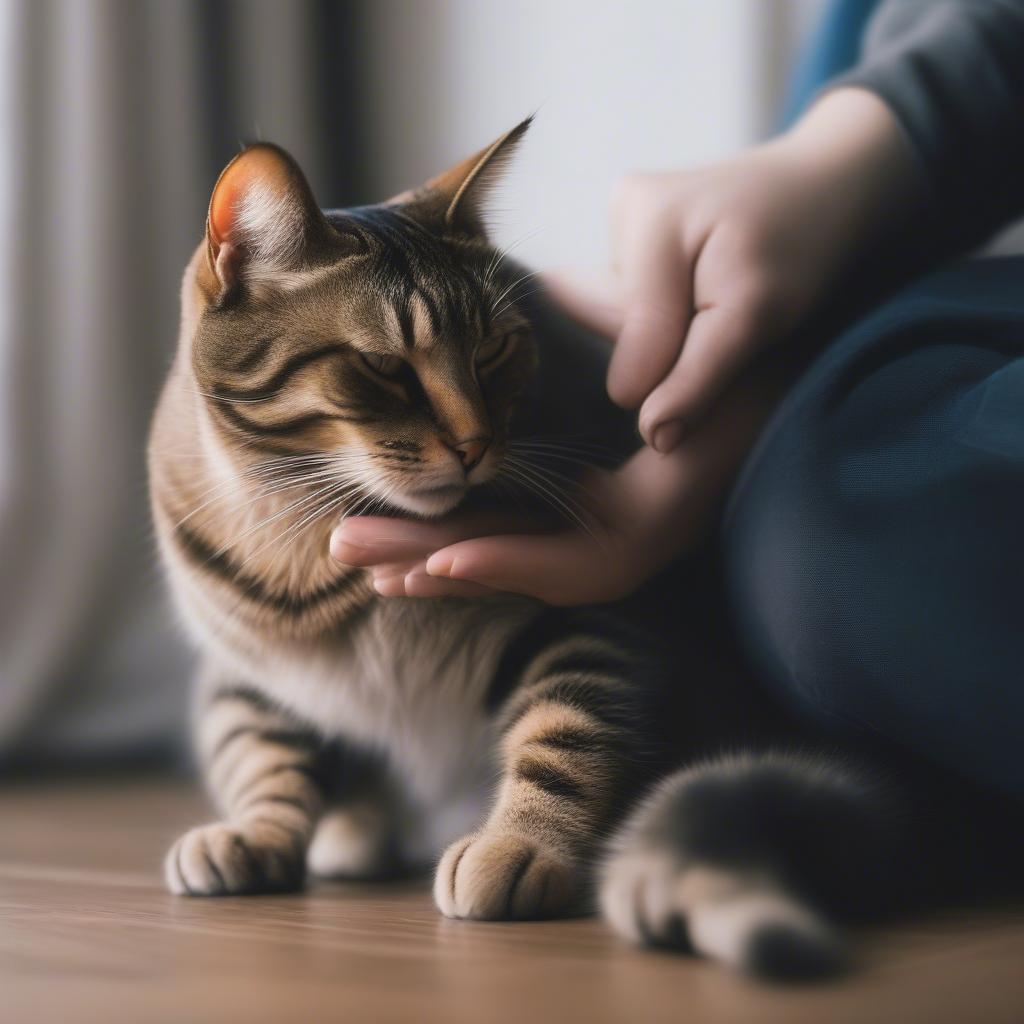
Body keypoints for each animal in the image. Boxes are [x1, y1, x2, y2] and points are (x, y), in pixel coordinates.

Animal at [146, 116, 1015, 978]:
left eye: (492, 352)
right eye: (384, 367)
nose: (475, 444)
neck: (302, 535)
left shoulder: (594, 622)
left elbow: (564, 733)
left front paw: (516, 846)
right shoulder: (242, 673)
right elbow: (260, 754)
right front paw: (255, 833)